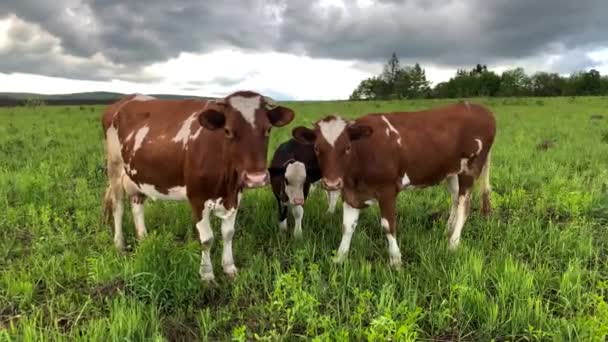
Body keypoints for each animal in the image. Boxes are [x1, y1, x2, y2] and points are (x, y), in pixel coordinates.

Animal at [101, 90, 294, 280]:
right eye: (228, 130)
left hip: (136, 175)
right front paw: (207, 274)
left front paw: (229, 267)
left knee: (137, 205)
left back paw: (144, 238)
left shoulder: (235, 195)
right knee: (118, 206)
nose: (256, 178)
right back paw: (119, 245)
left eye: (268, 129)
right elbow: (207, 239)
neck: (226, 184)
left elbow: (228, 233)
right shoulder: (197, 198)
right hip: (115, 167)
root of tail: (123, 100)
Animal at [292, 103, 496, 268]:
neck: (363, 154)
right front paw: (339, 258)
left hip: (470, 169)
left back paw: (453, 243)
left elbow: (388, 226)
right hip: (452, 171)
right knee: (455, 198)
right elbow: (347, 226)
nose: (332, 183)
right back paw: (447, 230)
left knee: (464, 204)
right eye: (317, 149)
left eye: (347, 148)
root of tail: (482, 109)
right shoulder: (350, 193)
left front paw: (395, 261)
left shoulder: (387, 191)